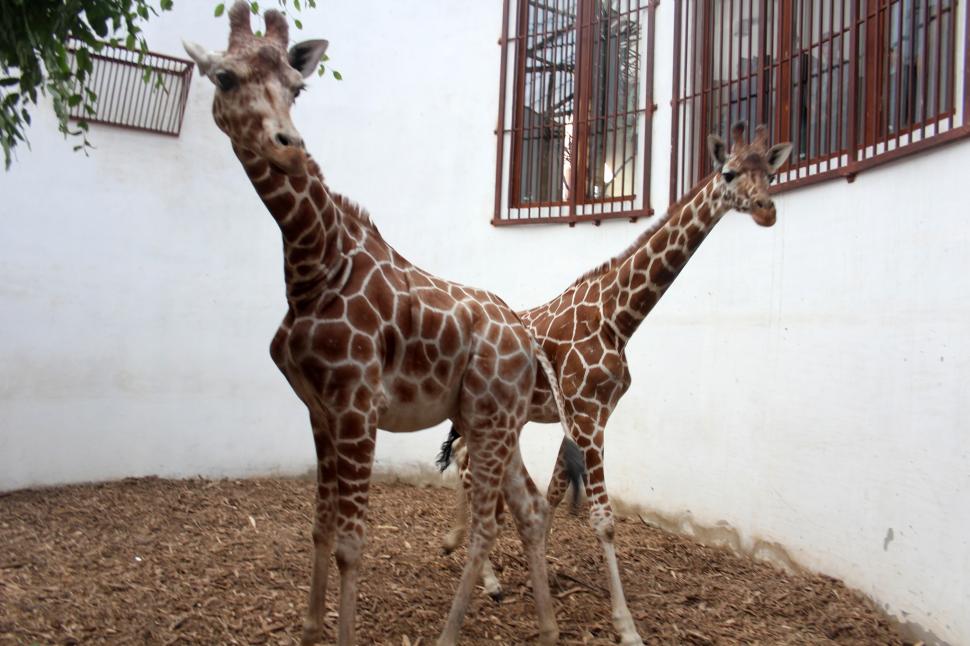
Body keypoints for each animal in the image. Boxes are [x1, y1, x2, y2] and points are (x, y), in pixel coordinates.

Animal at [181, 4, 577, 644]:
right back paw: (547, 630)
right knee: (532, 508)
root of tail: (527, 336)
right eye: (225, 77)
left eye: (297, 87)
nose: (289, 147)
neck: (315, 263)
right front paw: (309, 631)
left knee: (489, 523)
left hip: (490, 419)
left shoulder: (356, 406)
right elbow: (319, 528)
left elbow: (351, 543)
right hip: (495, 418)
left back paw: (449, 634)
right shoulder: (318, 410)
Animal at [438, 122, 793, 645]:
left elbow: (553, 494)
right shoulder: (587, 419)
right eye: (728, 172)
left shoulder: (589, 416)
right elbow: (603, 521)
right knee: (467, 464)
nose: (767, 210)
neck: (618, 317)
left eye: (769, 171)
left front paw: (542, 579)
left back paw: (465, 553)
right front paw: (626, 626)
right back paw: (484, 573)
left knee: (464, 459)